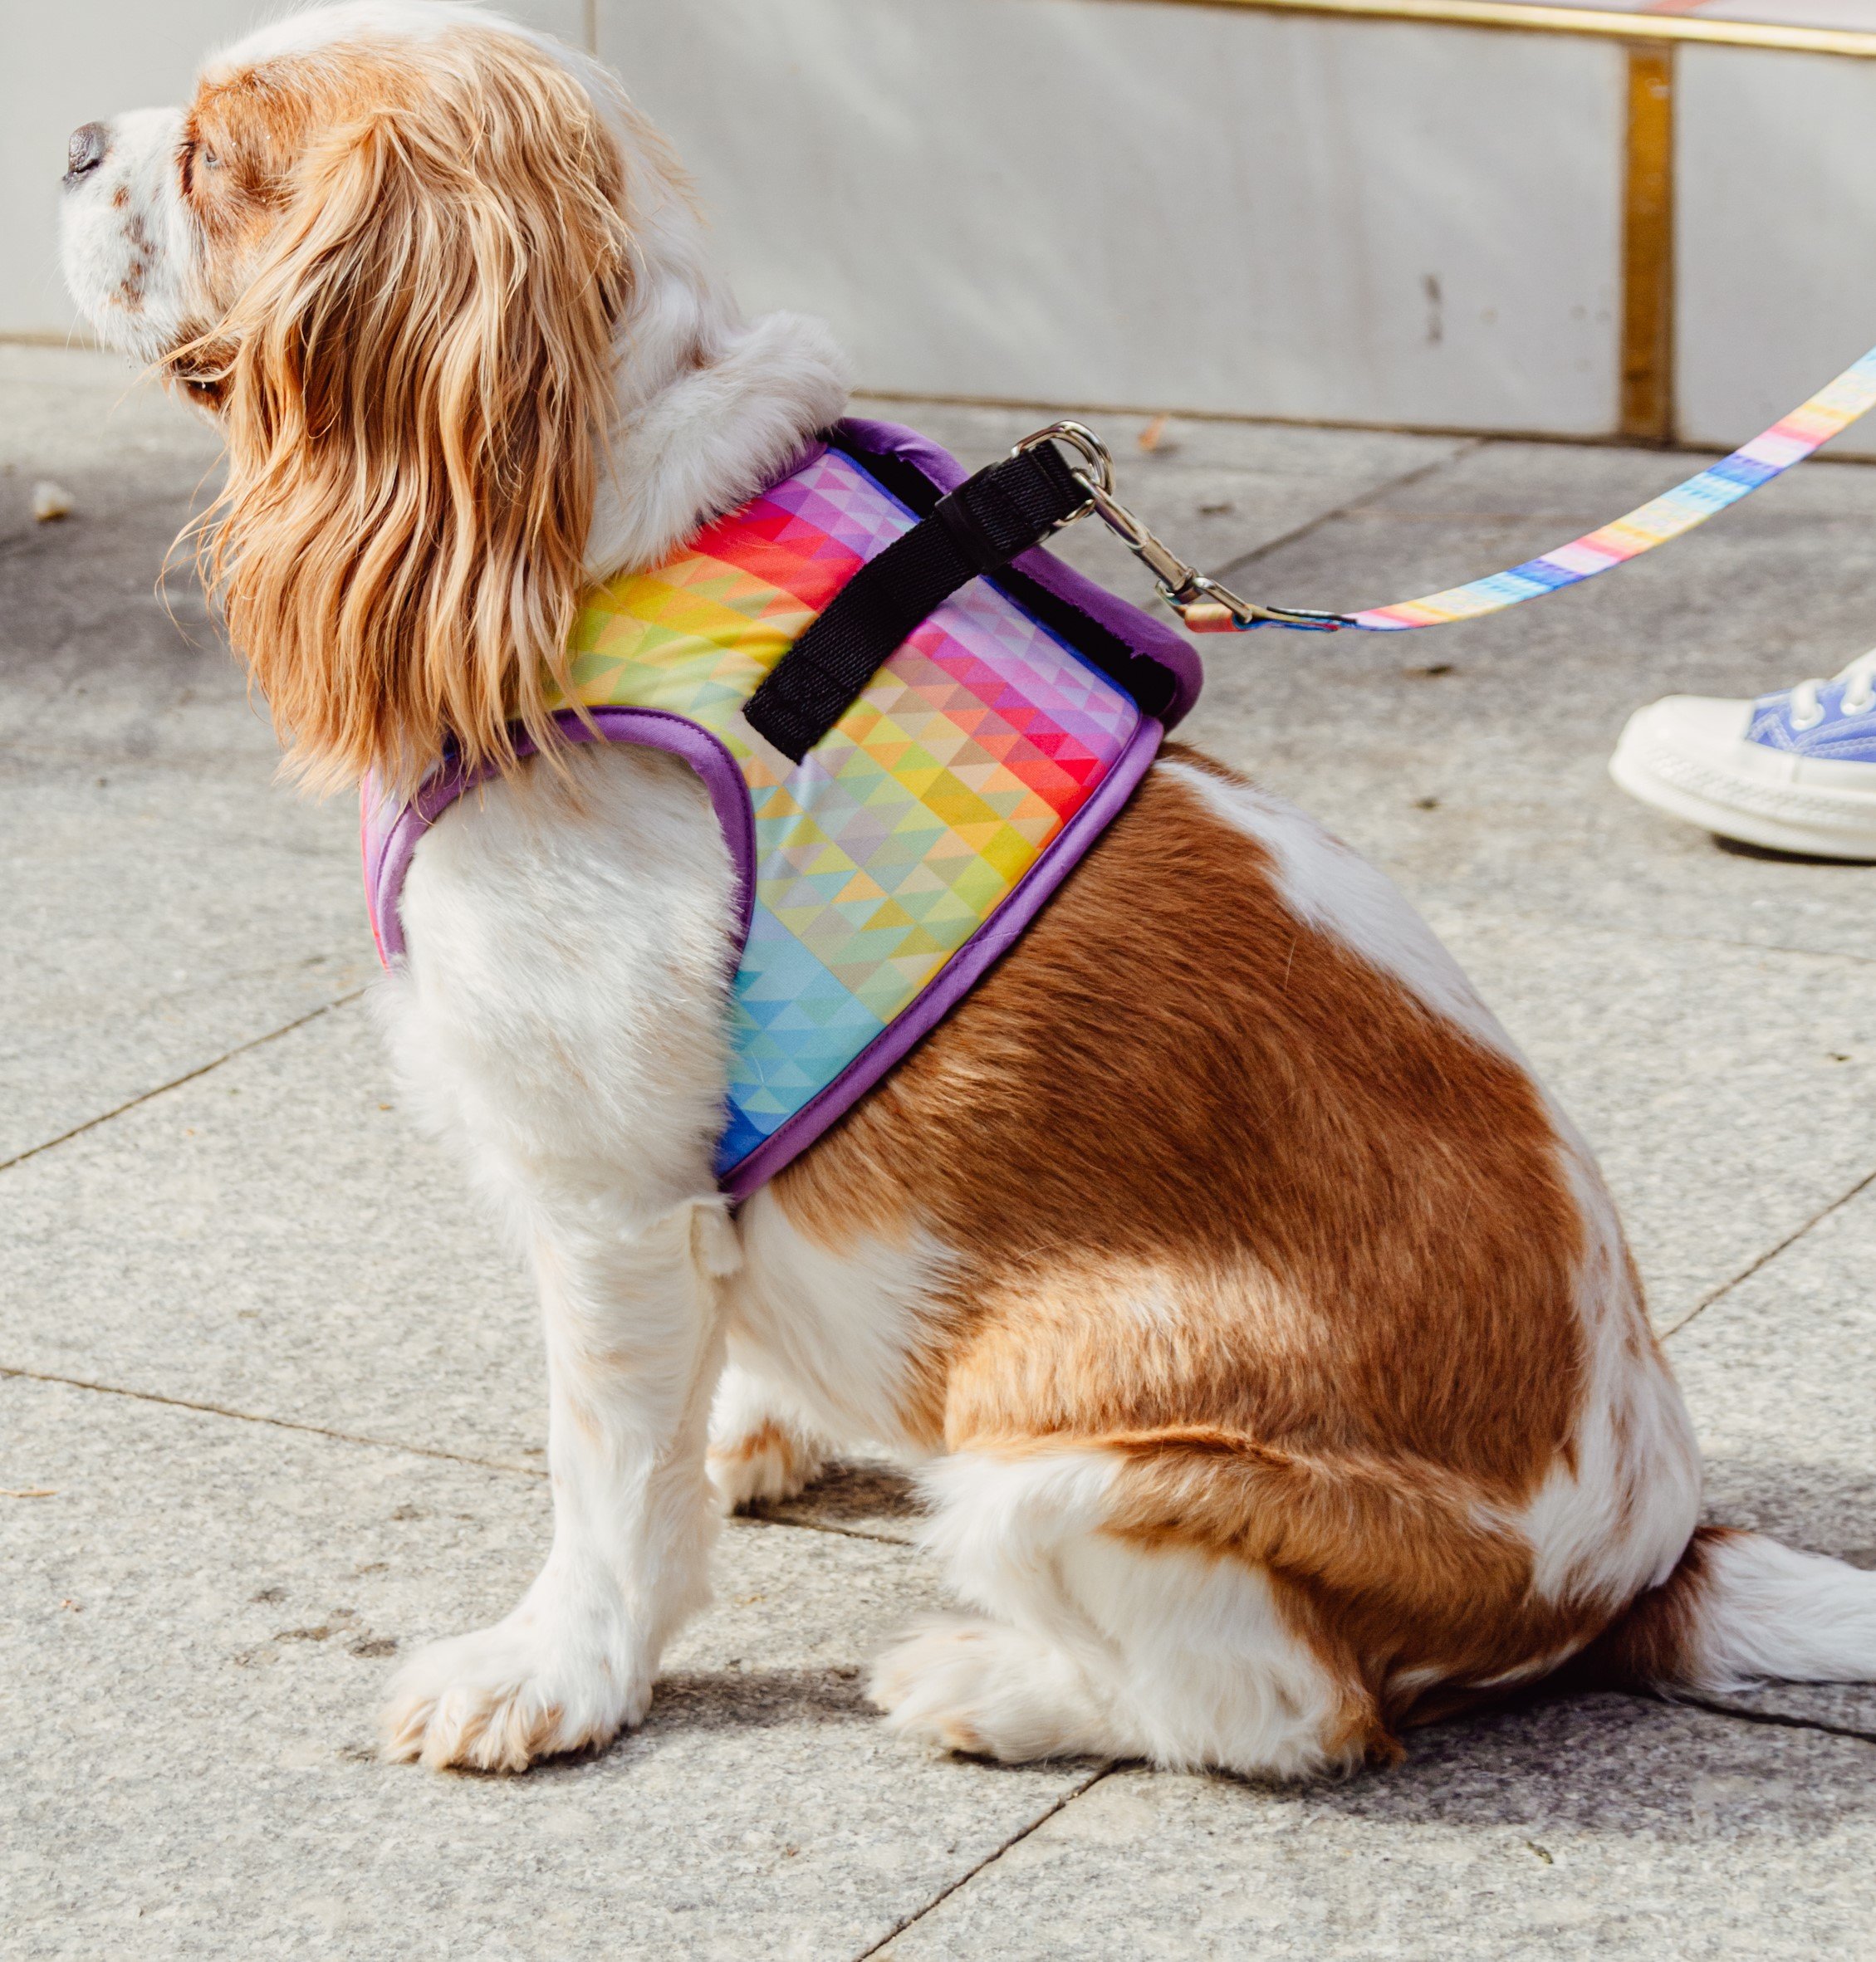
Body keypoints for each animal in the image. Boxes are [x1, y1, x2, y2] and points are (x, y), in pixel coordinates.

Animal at [58, 0, 1876, 1781]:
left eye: (215, 153)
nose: (70, 136)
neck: (609, 520)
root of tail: (1648, 1557)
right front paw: (756, 1425)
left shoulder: (604, 1198)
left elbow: (609, 1486)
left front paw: (556, 1675)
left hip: (1056, 1439)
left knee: (1287, 1712)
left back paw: (984, 1682)